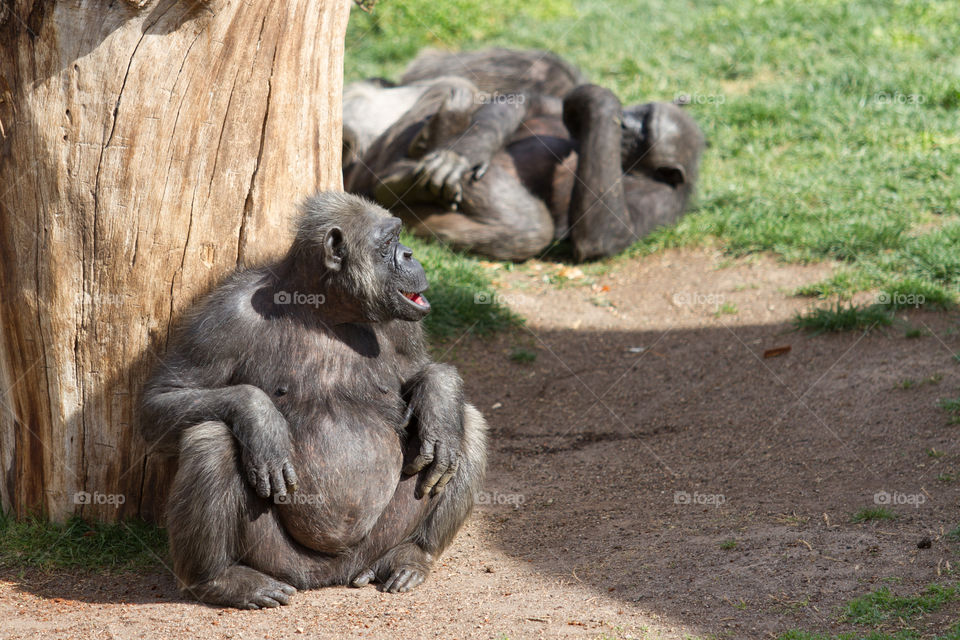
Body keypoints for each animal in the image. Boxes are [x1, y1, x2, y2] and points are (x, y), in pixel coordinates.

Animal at [140, 191, 487, 609]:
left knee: (468, 425)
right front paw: (260, 418)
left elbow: (421, 373)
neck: (324, 309)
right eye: (388, 242)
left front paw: (437, 398)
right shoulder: (223, 317)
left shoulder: (406, 327)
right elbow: (163, 398)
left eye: (398, 237)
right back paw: (222, 580)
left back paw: (411, 555)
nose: (408, 253)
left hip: (380, 538)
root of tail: (333, 576)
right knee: (212, 437)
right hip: (275, 555)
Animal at [343, 50, 705, 262]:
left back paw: (402, 180)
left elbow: (603, 237)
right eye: (641, 114)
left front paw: (596, 100)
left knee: (531, 228)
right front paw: (467, 153)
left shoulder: (657, 203)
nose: (625, 122)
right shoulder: (549, 106)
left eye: (643, 132)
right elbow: (522, 101)